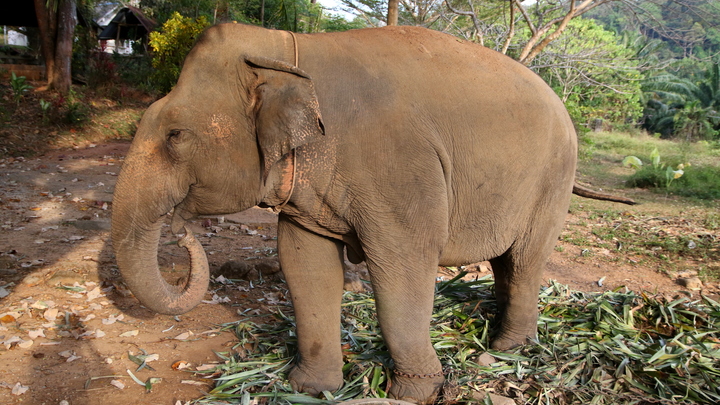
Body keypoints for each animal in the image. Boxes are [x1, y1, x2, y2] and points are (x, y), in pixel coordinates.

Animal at [111, 23, 636, 402]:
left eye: (175, 136)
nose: (182, 230)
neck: (288, 52)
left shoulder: (398, 167)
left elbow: (402, 265)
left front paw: (414, 392)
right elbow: (304, 263)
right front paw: (310, 388)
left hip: (553, 179)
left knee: (526, 259)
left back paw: (507, 350)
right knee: (507, 261)